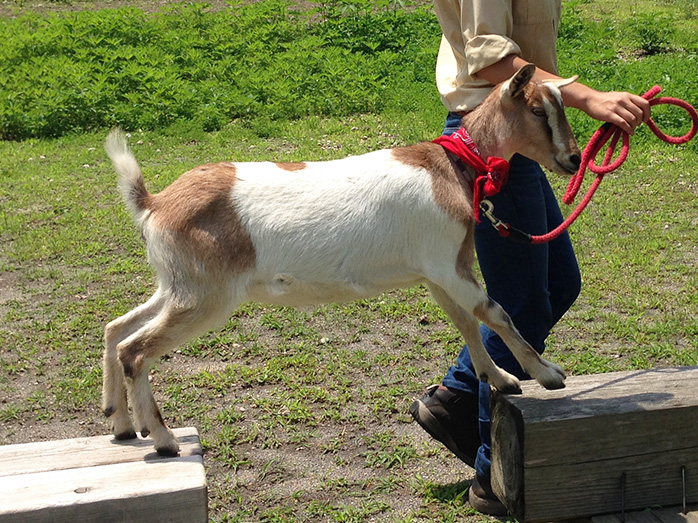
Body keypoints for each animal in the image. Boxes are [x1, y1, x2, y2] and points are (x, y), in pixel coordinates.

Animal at [103, 65, 580, 456]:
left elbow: (465, 321)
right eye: (538, 110)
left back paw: (121, 422)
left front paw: (499, 378)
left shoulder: (434, 272)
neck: (450, 169)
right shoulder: (447, 263)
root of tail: (154, 203)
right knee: (136, 350)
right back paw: (163, 439)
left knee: (115, 329)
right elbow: (494, 312)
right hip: (206, 295)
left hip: (177, 285)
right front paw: (546, 373)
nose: (574, 158)